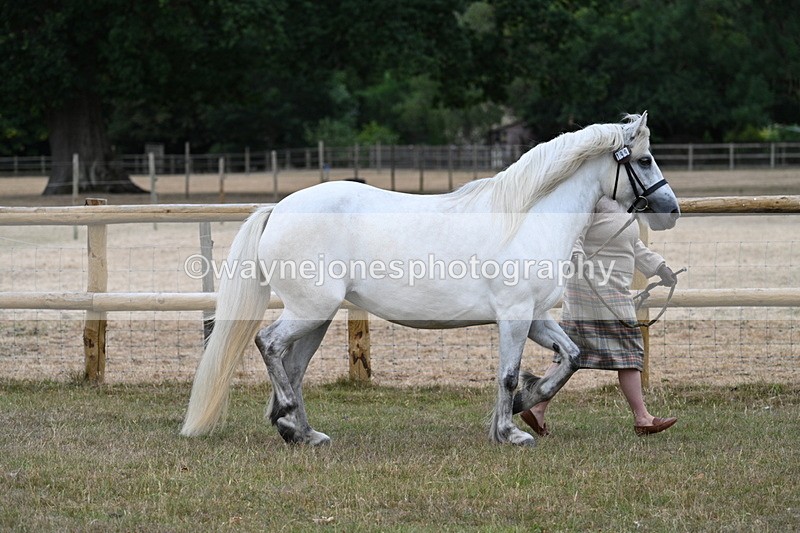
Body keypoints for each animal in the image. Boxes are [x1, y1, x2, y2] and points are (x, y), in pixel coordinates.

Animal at [181, 112, 680, 447]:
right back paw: (288, 419)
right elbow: (507, 375)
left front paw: (527, 405)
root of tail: (279, 208)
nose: (671, 210)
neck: (526, 218)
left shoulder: (536, 316)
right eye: (645, 159)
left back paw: (302, 433)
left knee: (293, 365)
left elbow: (572, 357)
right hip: (310, 310)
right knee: (269, 345)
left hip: (316, 318)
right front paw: (510, 432)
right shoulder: (515, 316)